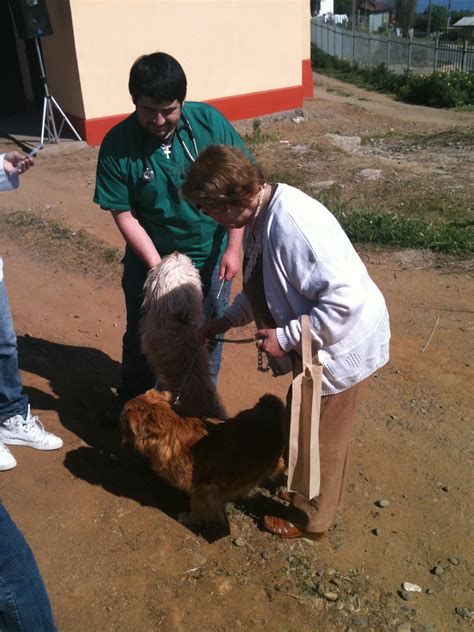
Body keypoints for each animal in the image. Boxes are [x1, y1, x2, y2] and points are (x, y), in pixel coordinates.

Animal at [122, 390, 286, 524]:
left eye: (125, 419)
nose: (121, 410)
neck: (173, 433)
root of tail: (270, 405)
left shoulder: (202, 490)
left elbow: (197, 507)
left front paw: (190, 518)